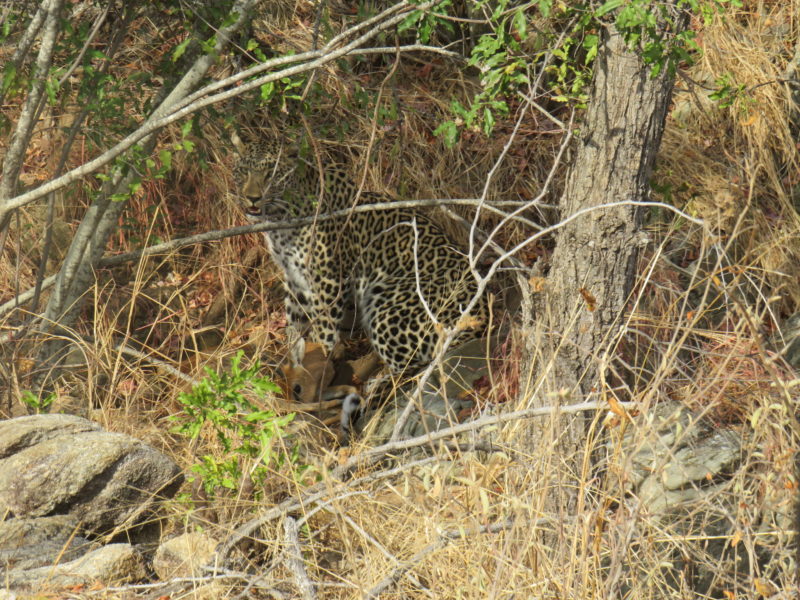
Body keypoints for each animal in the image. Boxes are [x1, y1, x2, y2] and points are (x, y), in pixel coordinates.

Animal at [231, 132, 487, 378]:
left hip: (388, 304)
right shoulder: (294, 276)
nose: (252, 197)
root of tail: (481, 320)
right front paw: (295, 359)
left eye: (271, 174)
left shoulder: (328, 278)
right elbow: (295, 322)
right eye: (244, 171)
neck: (280, 220)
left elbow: (323, 328)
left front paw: (320, 364)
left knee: (411, 367)